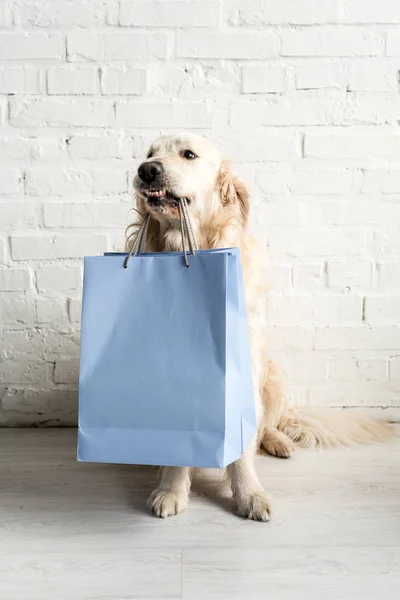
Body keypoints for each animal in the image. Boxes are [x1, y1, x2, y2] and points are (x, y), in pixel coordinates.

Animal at [127, 132, 394, 520]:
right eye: (150, 153)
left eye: (188, 154)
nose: (146, 170)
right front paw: (171, 489)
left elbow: (241, 449)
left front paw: (249, 494)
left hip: (273, 375)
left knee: (268, 425)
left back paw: (279, 442)